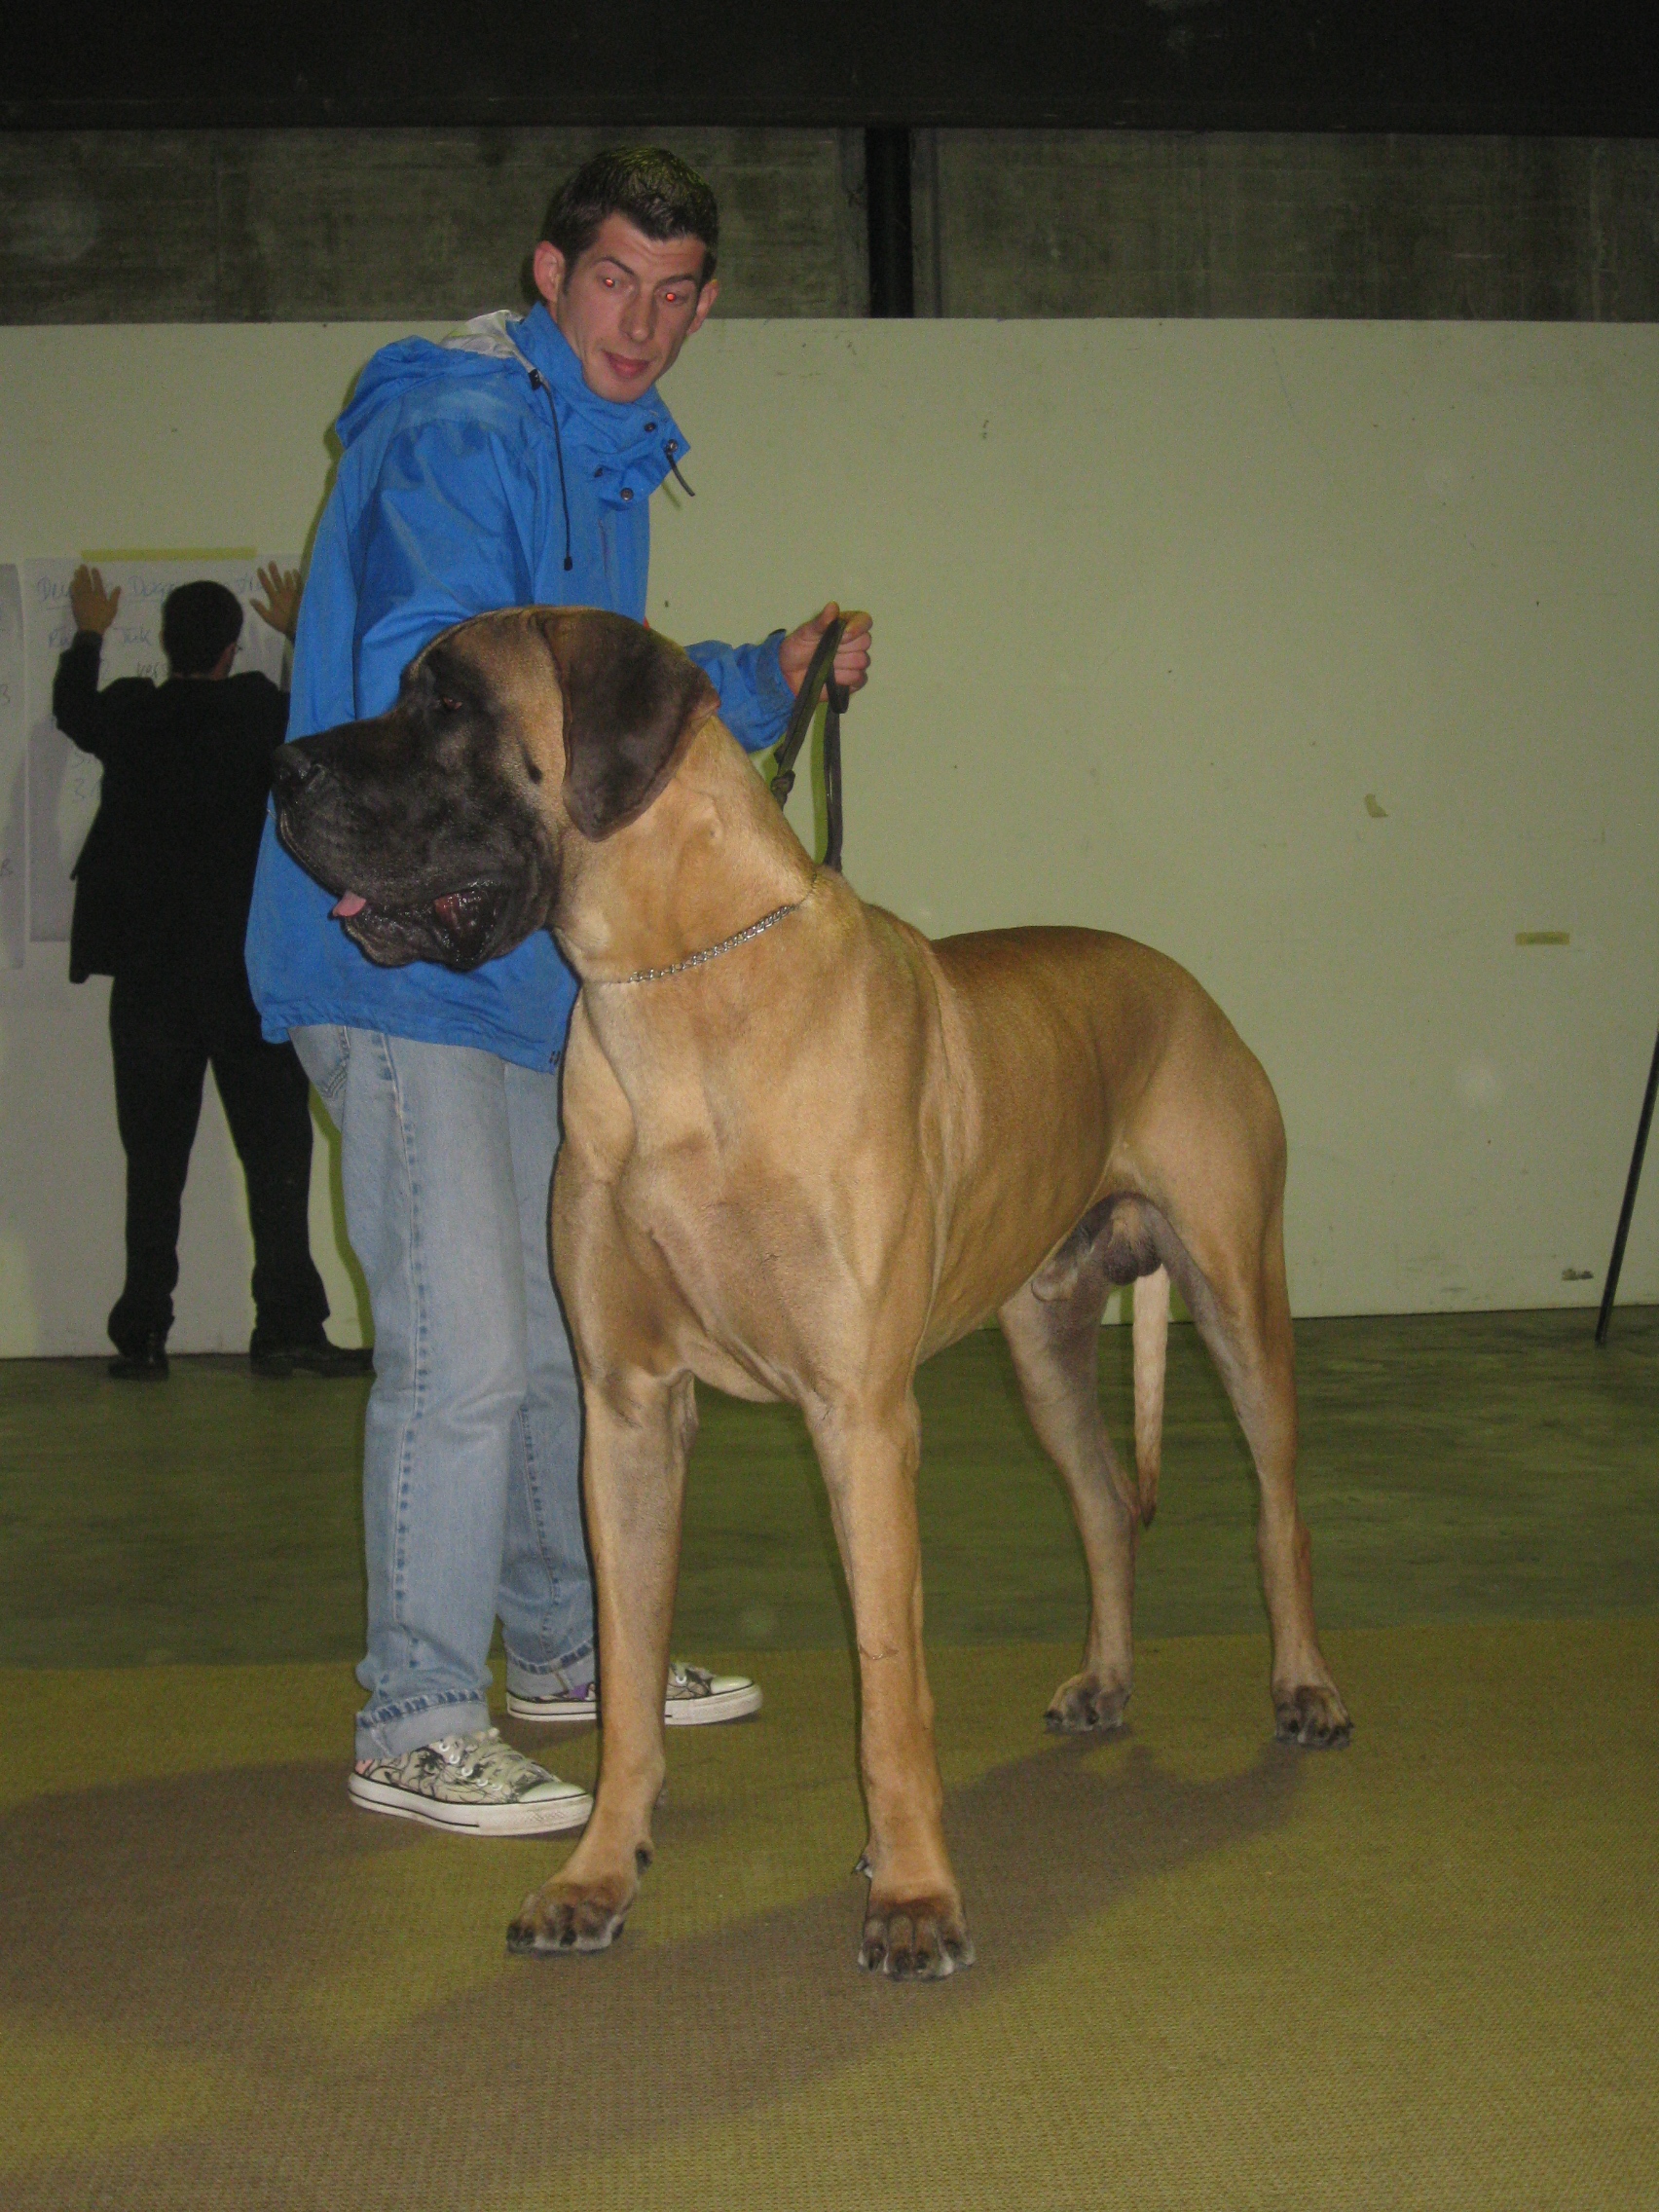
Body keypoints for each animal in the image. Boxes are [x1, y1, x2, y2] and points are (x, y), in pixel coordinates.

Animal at [272, 606, 1351, 1980]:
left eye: (451, 705)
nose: (283, 770)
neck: (677, 984)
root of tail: (1182, 980)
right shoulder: (626, 1411)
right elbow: (627, 1676)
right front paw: (596, 1875)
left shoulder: (862, 1415)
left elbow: (890, 1684)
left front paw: (914, 1891)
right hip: (1044, 1346)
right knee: (1108, 1507)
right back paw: (1106, 1679)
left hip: (1236, 1298)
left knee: (1279, 1513)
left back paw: (1304, 1687)